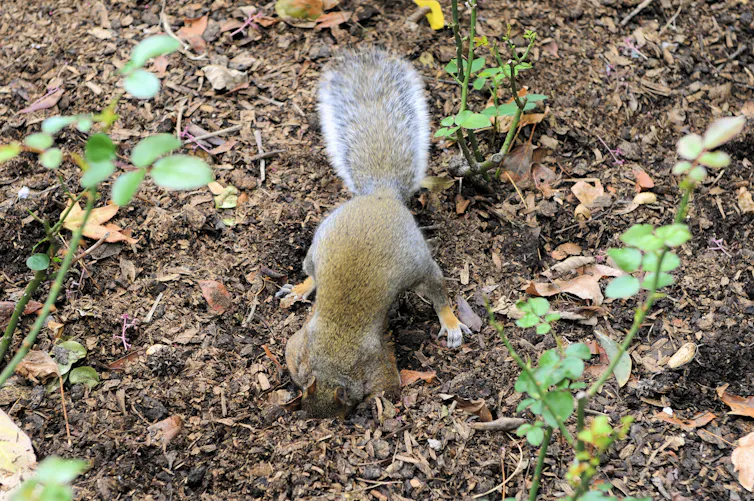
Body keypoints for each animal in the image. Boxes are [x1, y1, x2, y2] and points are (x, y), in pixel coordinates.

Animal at [277, 48, 471, 418]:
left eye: (344, 409)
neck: (332, 354)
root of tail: (381, 195)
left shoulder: (375, 359)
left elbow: (386, 382)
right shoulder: (300, 346)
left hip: (417, 264)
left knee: (438, 291)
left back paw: (451, 322)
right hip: (316, 247)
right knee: (312, 274)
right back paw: (300, 289)